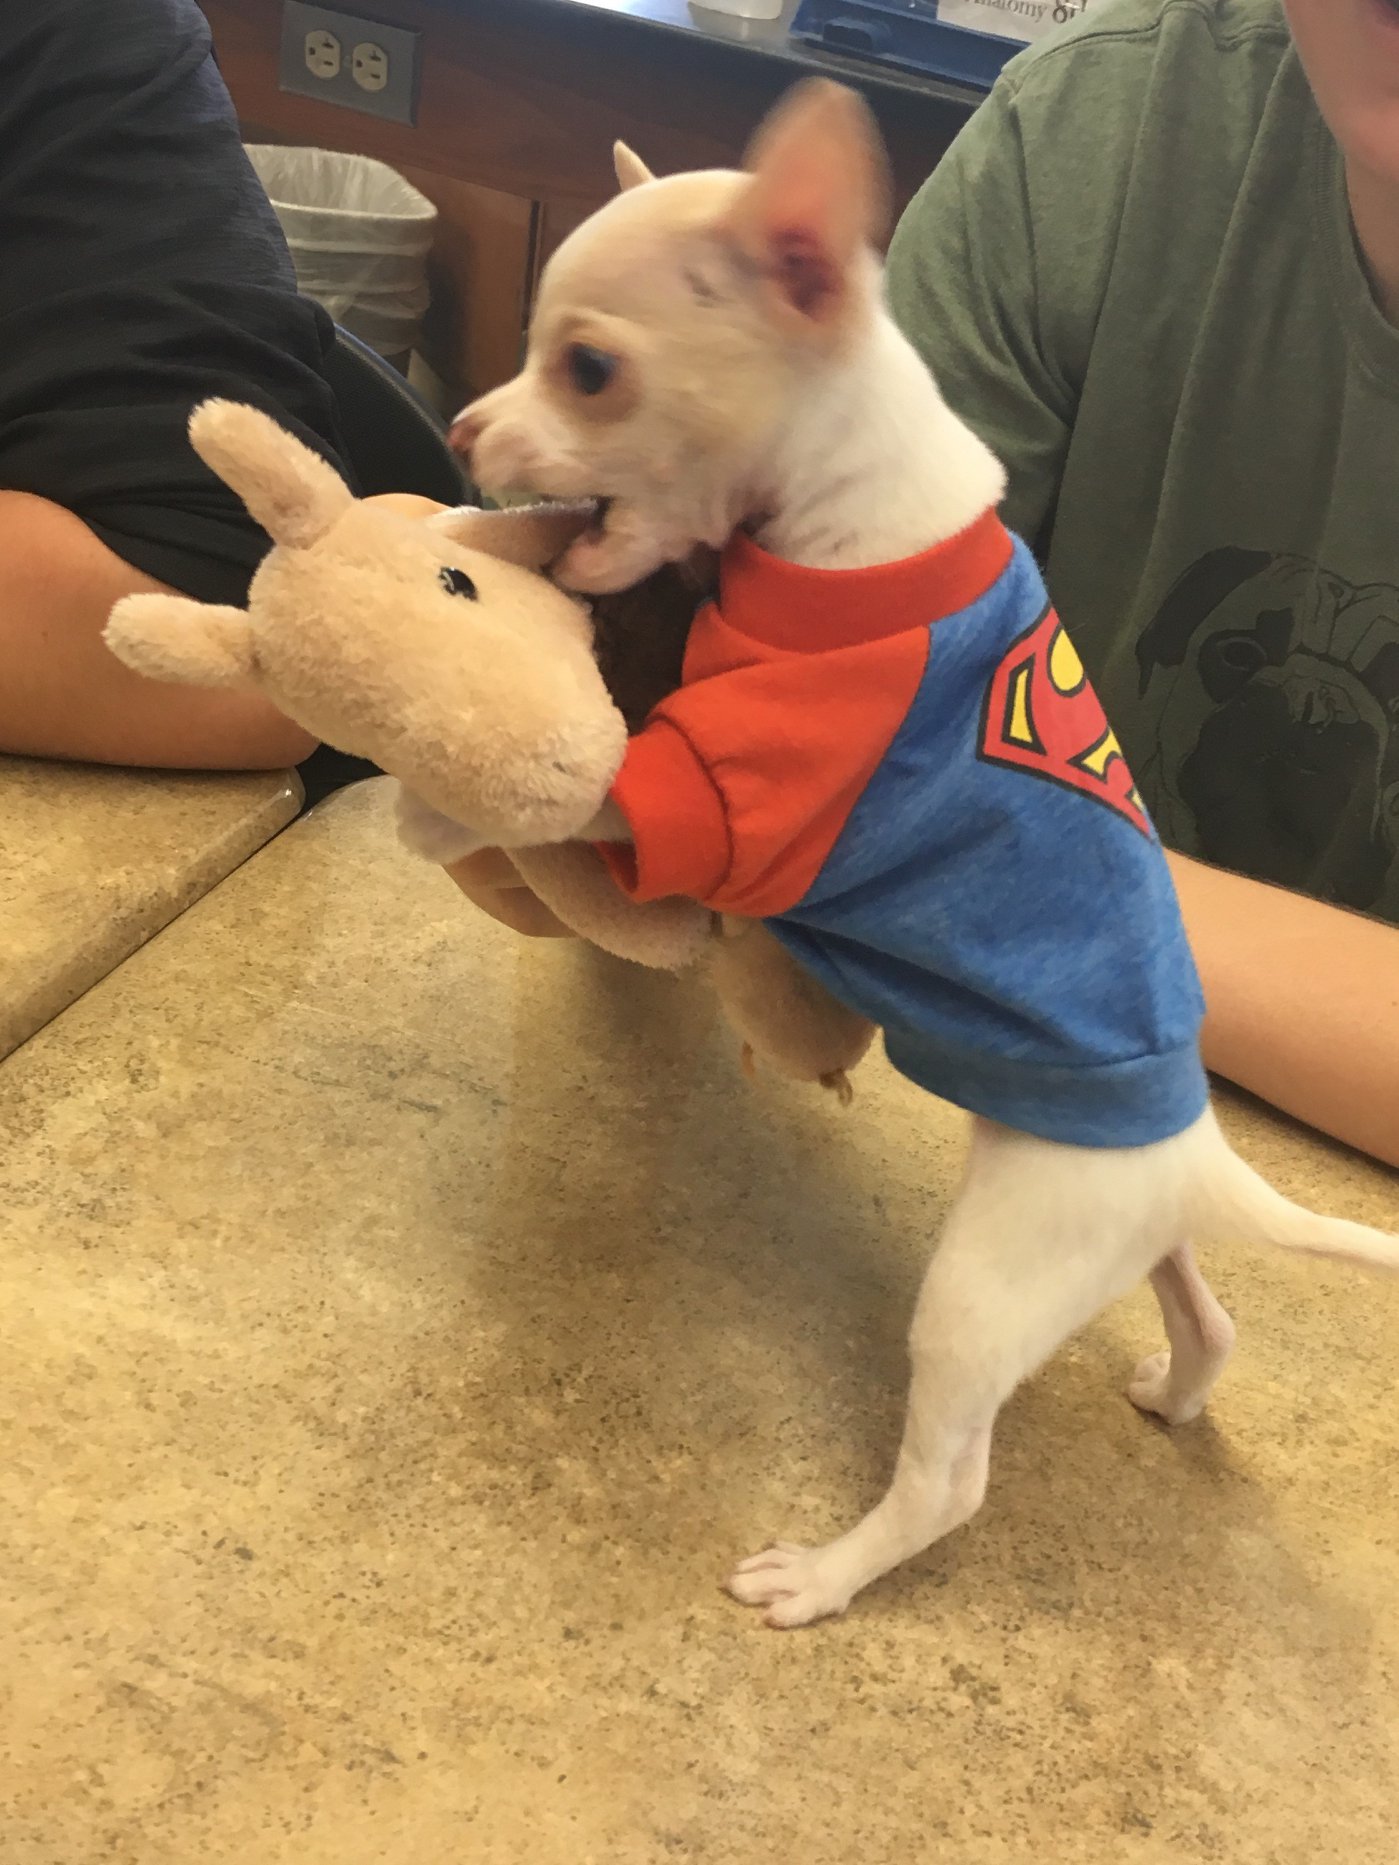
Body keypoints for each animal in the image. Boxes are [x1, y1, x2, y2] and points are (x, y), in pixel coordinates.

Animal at [455, 80, 1395, 1626]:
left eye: (586, 369)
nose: (465, 424)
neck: (854, 522)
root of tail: (1192, 1149)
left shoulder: (736, 805)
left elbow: (604, 789)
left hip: (992, 1277)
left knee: (948, 1481)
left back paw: (830, 1571)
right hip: (1108, 1242)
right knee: (1207, 1311)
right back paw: (1176, 1384)